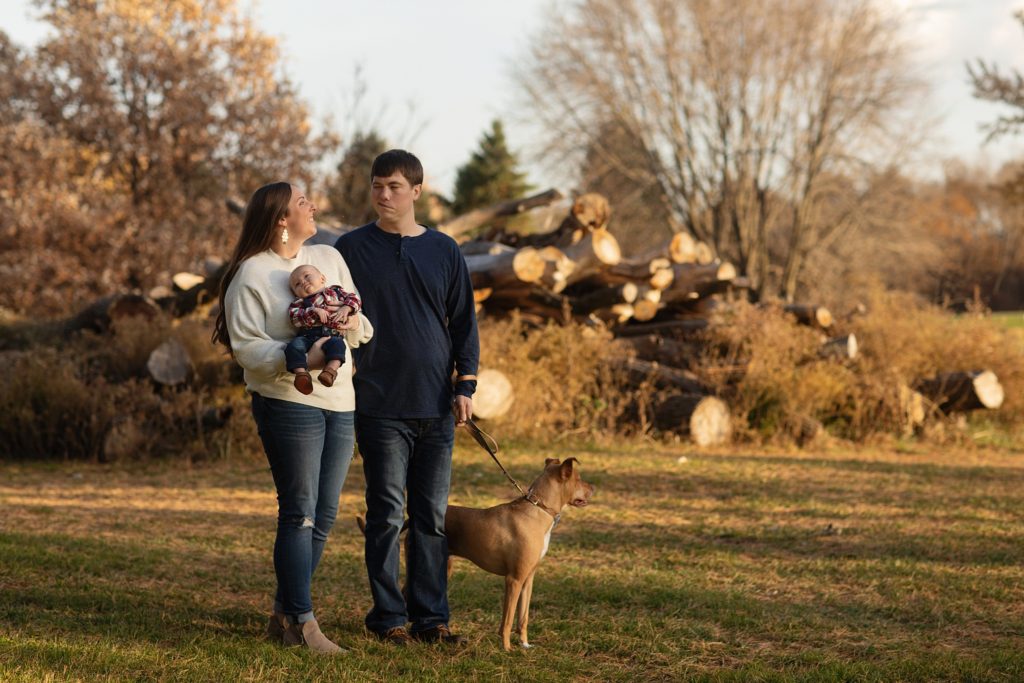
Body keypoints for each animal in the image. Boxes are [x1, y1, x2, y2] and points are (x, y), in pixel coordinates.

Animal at [446, 458, 593, 651]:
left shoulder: (528, 579)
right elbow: (507, 620)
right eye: (578, 479)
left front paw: (525, 644)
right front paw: (507, 648)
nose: (593, 488)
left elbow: (523, 617)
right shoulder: (514, 579)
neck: (539, 510)